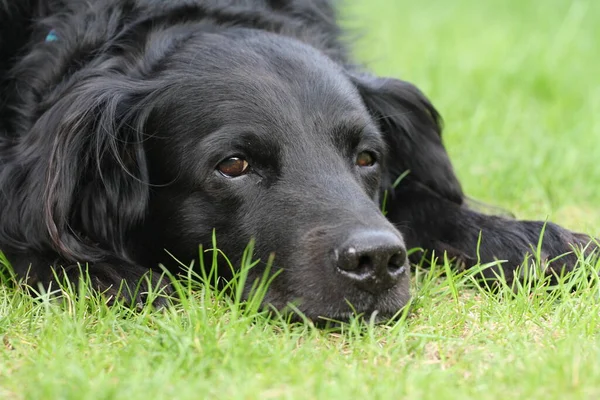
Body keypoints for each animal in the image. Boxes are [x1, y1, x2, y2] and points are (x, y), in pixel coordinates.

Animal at [0, 0, 596, 318]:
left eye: (367, 157)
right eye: (234, 165)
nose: (378, 261)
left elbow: (424, 204)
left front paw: (538, 242)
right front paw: (112, 275)